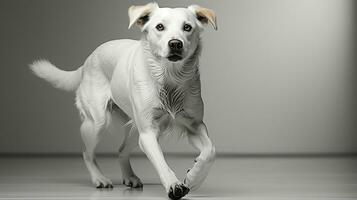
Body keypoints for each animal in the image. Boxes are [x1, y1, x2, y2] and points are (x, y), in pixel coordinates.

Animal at [29, 3, 216, 200]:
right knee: (87, 153)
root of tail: (87, 61)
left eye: (187, 27)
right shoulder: (148, 133)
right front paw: (174, 185)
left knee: (121, 151)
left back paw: (130, 177)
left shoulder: (194, 126)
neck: (169, 77)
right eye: (159, 27)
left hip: (134, 130)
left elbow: (210, 151)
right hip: (97, 124)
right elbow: (160, 161)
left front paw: (194, 177)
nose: (175, 43)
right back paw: (99, 178)